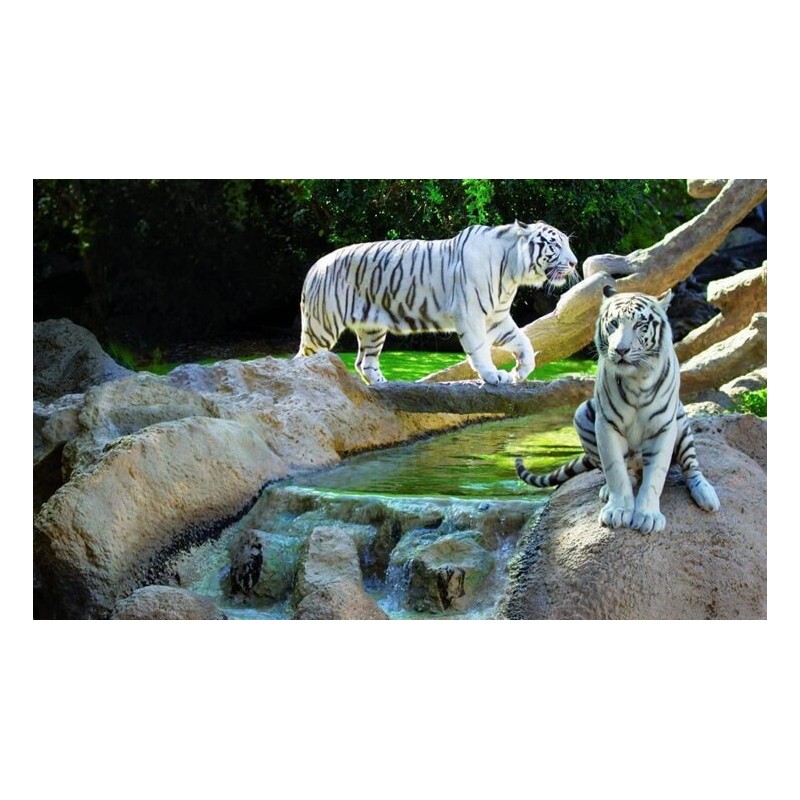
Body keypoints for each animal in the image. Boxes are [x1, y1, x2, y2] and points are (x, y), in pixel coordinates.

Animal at [295, 220, 578, 385]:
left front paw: (519, 372)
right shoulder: (471, 315)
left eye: (567, 242)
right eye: (555, 244)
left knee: (364, 363)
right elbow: (480, 350)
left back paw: (384, 385)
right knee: (302, 358)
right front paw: (494, 375)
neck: (512, 271)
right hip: (322, 327)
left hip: (372, 328)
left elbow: (524, 342)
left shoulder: (496, 318)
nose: (575, 262)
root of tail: (315, 267)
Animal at [515, 285, 720, 534]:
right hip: (582, 414)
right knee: (624, 469)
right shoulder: (606, 425)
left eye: (640, 325)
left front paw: (648, 516)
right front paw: (618, 511)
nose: (621, 350)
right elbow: (615, 470)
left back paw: (706, 495)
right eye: (613, 323)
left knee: (691, 466)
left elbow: (655, 476)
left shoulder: (663, 427)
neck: (637, 379)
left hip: (681, 421)